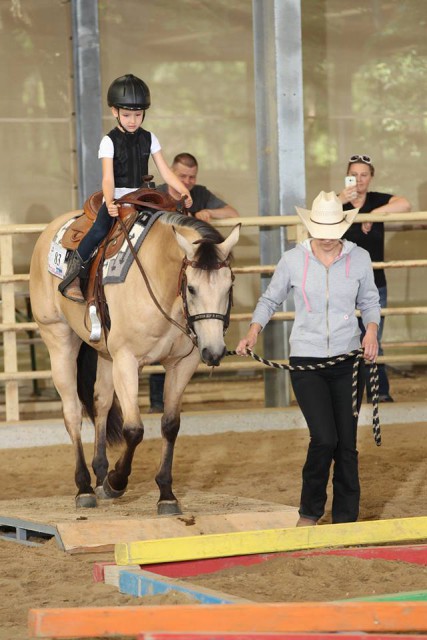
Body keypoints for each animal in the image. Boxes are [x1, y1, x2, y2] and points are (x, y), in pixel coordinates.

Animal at [29, 198, 241, 512]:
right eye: (191, 288)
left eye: (230, 286)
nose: (213, 352)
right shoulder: (127, 361)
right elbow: (134, 430)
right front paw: (116, 482)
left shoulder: (182, 364)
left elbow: (170, 425)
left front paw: (166, 493)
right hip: (59, 339)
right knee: (73, 413)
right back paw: (85, 488)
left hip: (105, 355)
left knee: (101, 403)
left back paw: (99, 472)